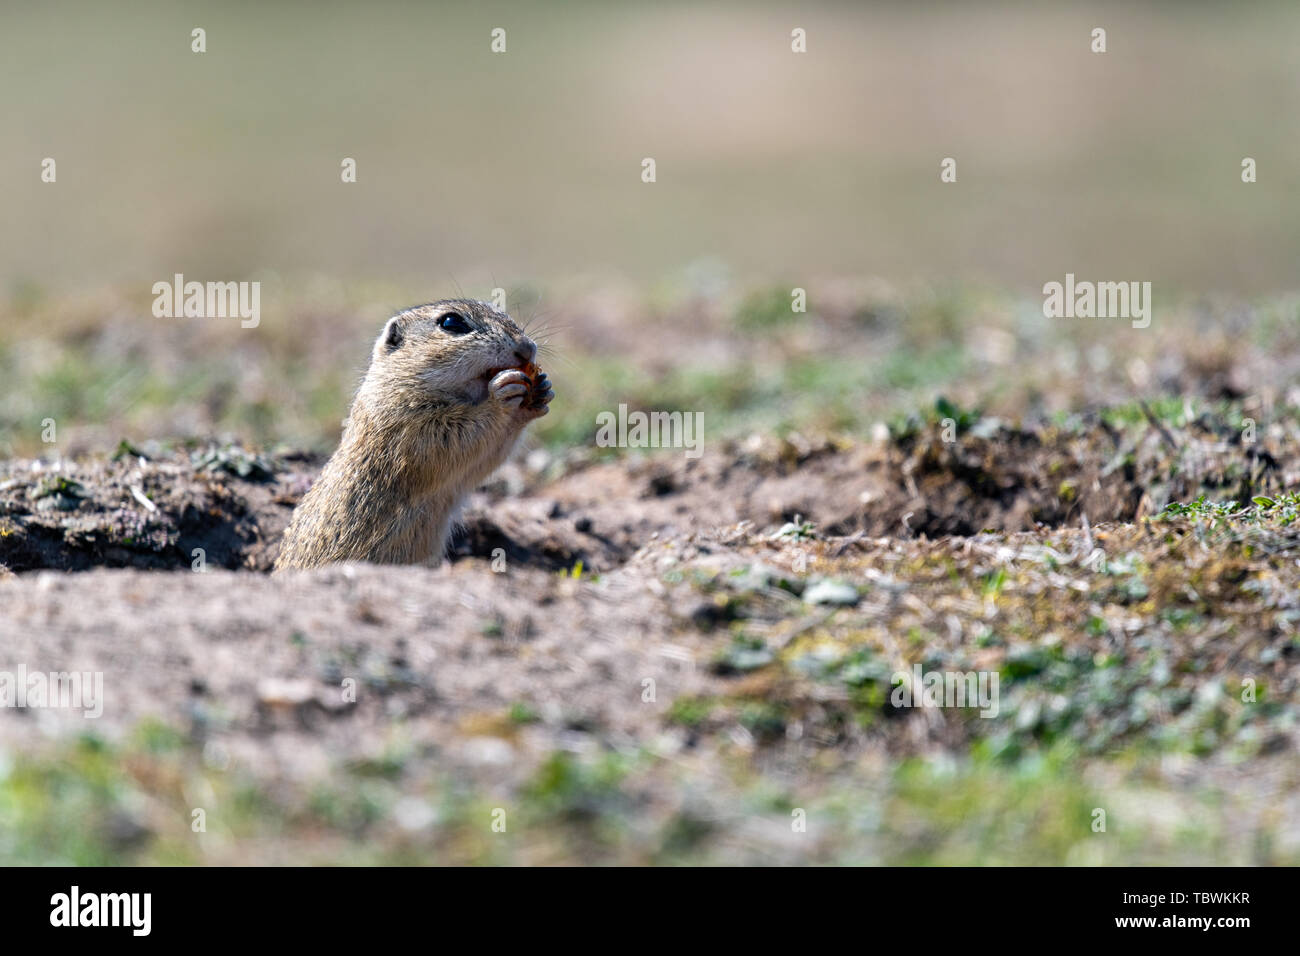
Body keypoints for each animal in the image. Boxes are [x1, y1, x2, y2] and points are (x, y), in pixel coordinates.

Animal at [276, 300, 551, 567]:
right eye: (451, 322)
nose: (527, 348)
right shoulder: (410, 426)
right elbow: (456, 439)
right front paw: (501, 395)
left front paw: (542, 391)